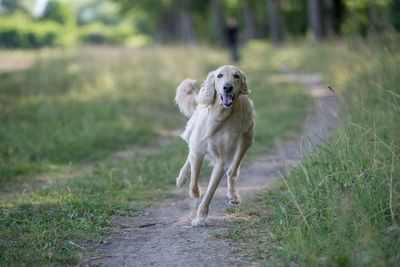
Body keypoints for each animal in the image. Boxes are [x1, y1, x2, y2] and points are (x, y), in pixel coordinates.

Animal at [174, 65, 253, 228]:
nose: (227, 87)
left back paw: (233, 195)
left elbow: (209, 192)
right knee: (189, 155)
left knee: (233, 171)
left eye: (236, 76)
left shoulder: (222, 161)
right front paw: (195, 192)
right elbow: (193, 181)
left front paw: (201, 217)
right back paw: (182, 178)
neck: (219, 117)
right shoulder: (198, 150)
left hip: (246, 140)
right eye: (219, 75)